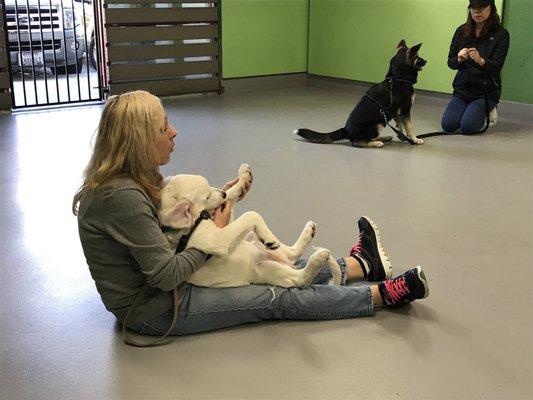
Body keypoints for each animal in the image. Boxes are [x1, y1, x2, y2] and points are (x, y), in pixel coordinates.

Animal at [159, 164, 340, 290]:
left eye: (210, 188)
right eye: (207, 196)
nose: (221, 193)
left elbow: (231, 196)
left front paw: (243, 177)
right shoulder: (217, 239)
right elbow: (251, 214)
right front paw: (269, 236)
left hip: (256, 245)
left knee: (291, 253)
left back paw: (309, 232)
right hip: (267, 271)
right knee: (299, 279)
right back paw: (315, 256)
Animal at [298, 39, 426, 147]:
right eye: (418, 57)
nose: (426, 61)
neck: (397, 78)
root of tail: (346, 130)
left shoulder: (395, 112)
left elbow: (400, 125)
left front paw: (402, 135)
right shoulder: (406, 110)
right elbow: (410, 127)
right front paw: (415, 139)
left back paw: (384, 138)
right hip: (378, 125)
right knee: (358, 141)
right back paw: (376, 143)